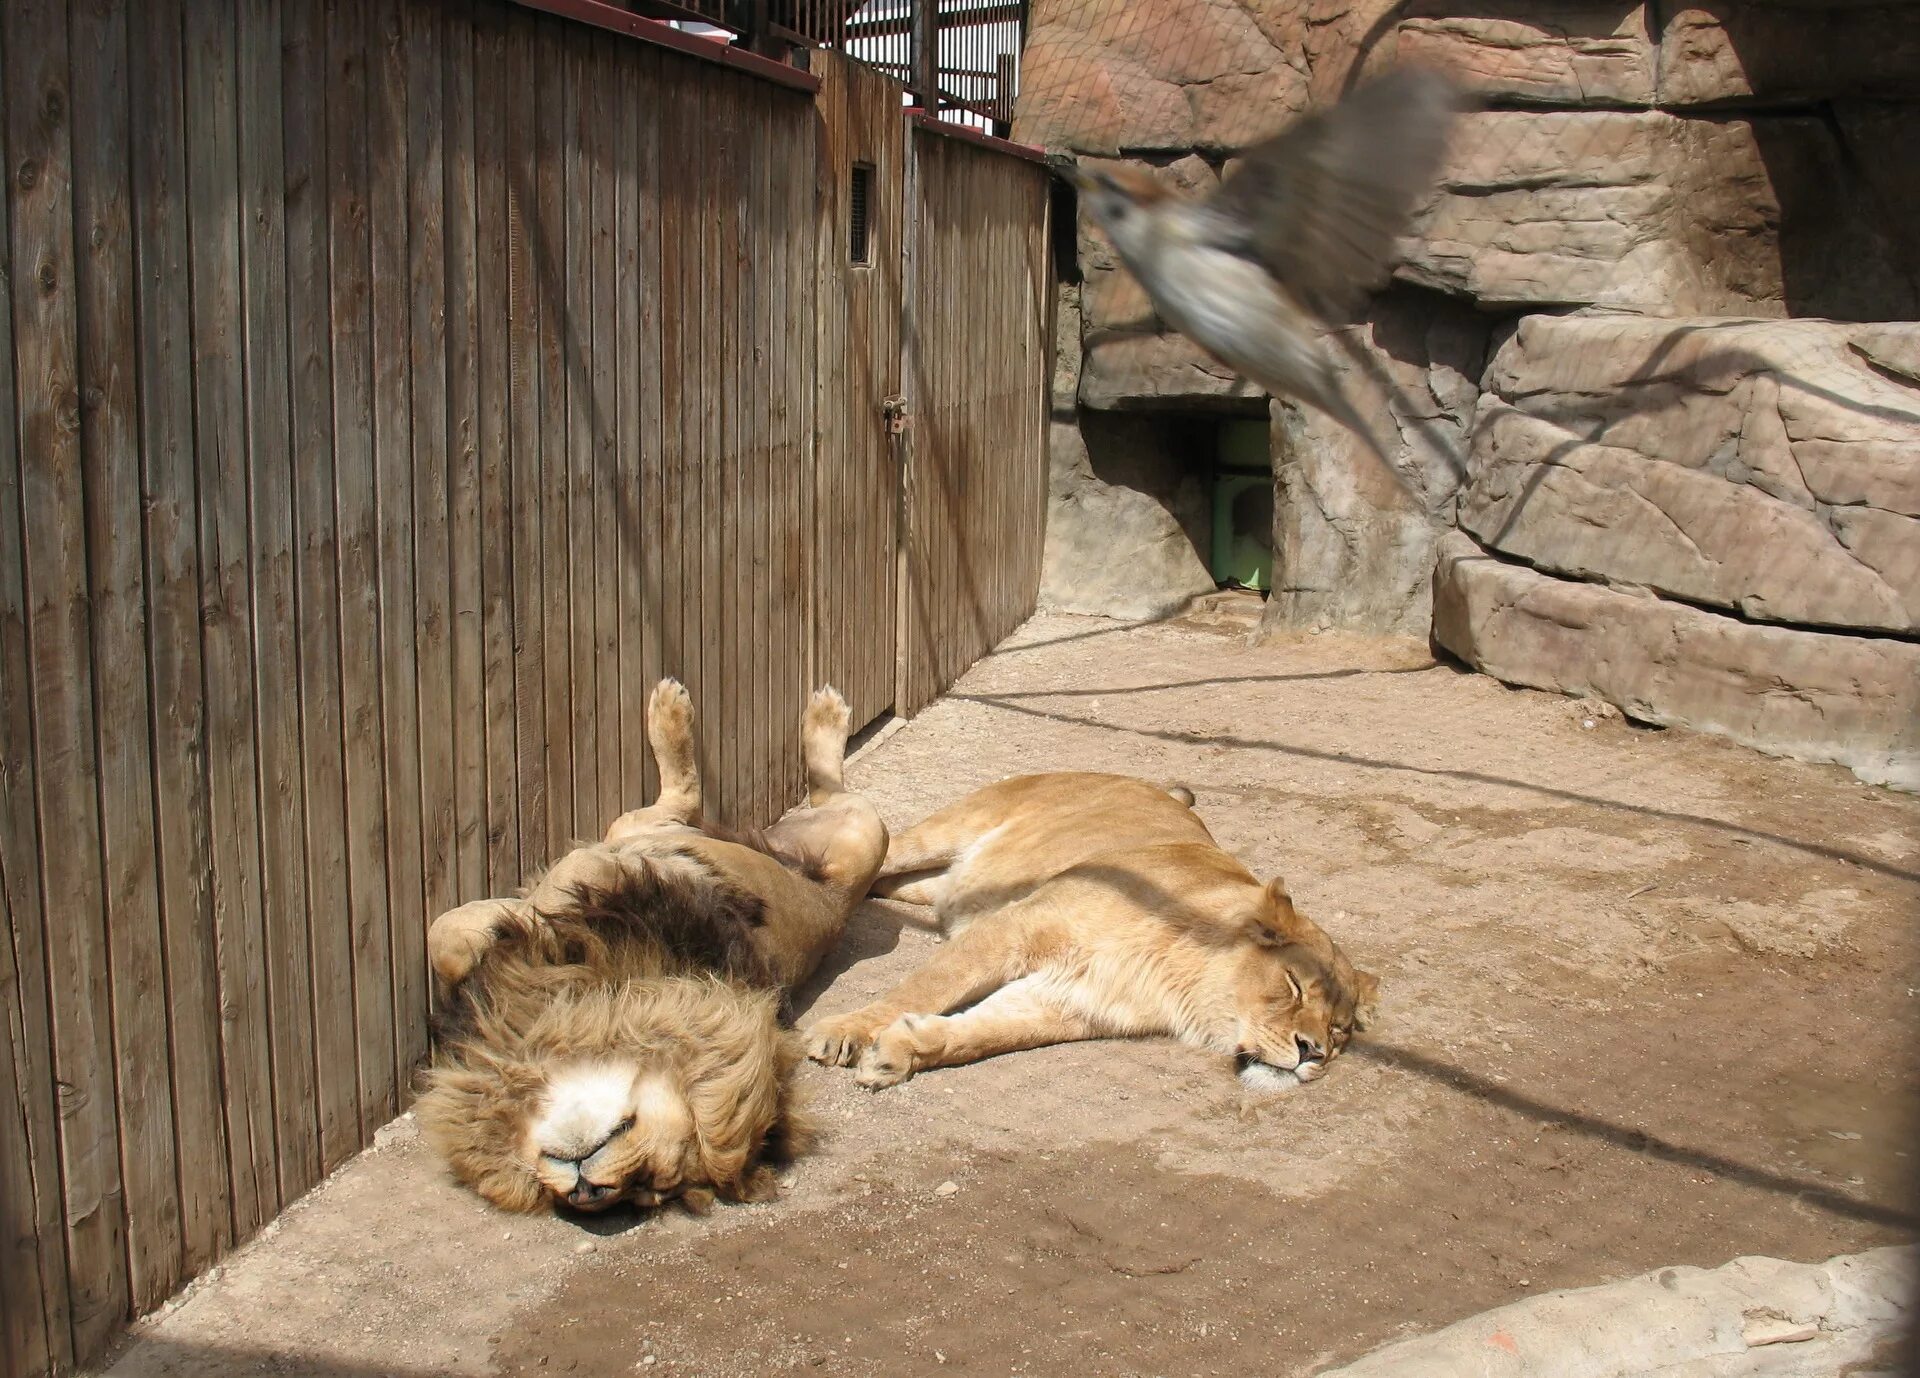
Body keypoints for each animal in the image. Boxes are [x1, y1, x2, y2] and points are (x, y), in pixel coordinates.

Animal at [420, 687, 883, 1212]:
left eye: (647, 1187)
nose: (587, 1194)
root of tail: (838, 901)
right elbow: (446, 932)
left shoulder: (604, 883)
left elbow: (550, 889)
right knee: (719, 802)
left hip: (868, 830)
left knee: (720, 797)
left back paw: (813, 716)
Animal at [802, 775, 1374, 1090]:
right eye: (1294, 986)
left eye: (1339, 1030)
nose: (1313, 1052)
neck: (1183, 984)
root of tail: (1153, 785)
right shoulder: (1016, 926)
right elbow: (924, 987)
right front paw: (845, 1031)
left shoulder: (1073, 1003)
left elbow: (983, 1034)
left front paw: (903, 1051)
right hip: (944, 833)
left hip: (935, 888)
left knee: (885, 882)